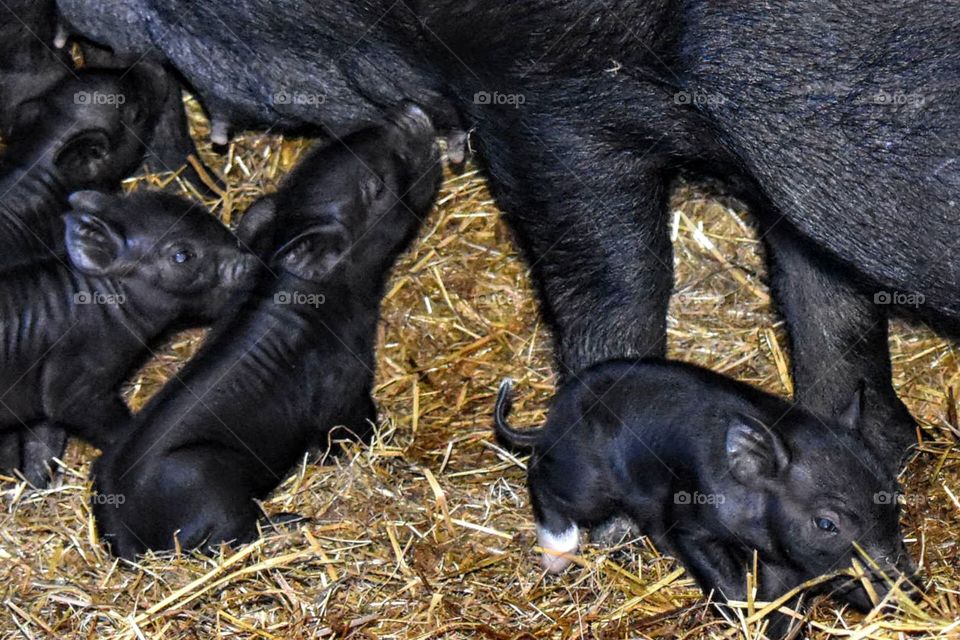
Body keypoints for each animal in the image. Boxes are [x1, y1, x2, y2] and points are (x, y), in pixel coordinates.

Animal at [91, 103, 441, 558]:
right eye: (377, 185)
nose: (411, 111)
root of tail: (125, 537)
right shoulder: (343, 390)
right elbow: (353, 431)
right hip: (204, 478)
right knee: (230, 538)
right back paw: (291, 522)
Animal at [494, 359, 917, 639]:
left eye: (893, 497)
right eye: (826, 523)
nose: (910, 588)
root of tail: (551, 421)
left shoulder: (784, 564)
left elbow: (782, 605)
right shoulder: (692, 522)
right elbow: (723, 579)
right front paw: (741, 618)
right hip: (585, 482)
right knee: (540, 479)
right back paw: (558, 558)